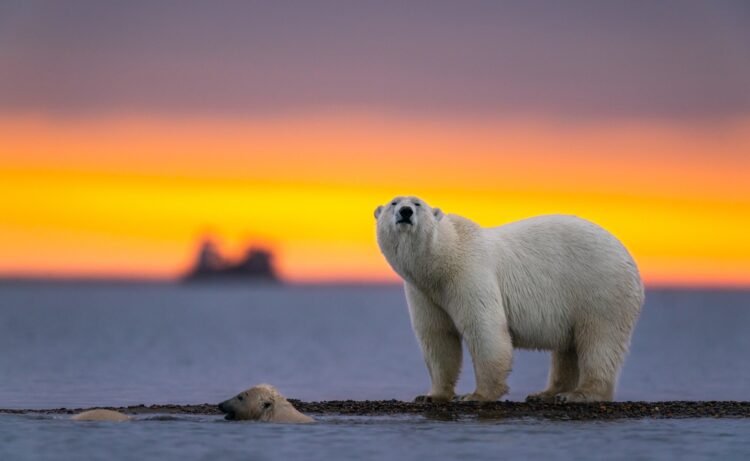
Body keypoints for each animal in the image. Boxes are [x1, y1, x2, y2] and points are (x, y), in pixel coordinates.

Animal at [375, 196, 643, 403]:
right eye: (394, 202)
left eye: (417, 203)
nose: (405, 212)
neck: (442, 260)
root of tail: (629, 259)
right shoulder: (424, 292)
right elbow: (438, 337)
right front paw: (431, 395)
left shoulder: (469, 273)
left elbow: (484, 329)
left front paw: (476, 396)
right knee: (568, 348)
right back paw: (546, 393)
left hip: (600, 288)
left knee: (599, 340)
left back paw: (579, 394)